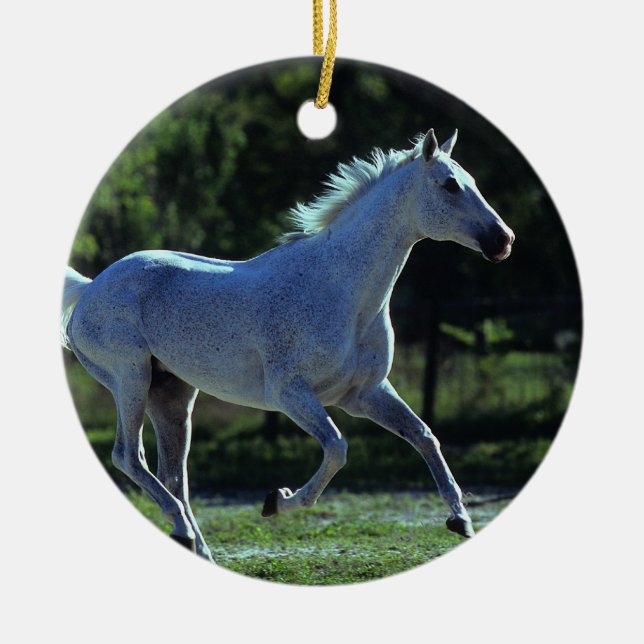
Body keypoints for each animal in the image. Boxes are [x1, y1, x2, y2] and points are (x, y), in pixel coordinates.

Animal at [61, 129, 515, 562]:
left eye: (472, 181)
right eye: (450, 185)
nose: (504, 240)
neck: (340, 290)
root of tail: (88, 289)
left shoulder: (364, 394)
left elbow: (424, 436)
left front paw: (460, 520)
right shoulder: (290, 393)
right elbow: (337, 448)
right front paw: (276, 502)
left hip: (172, 395)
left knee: (174, 474)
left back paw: (196, 544)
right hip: (130, 378)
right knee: (128, 456)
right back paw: (185, 529)